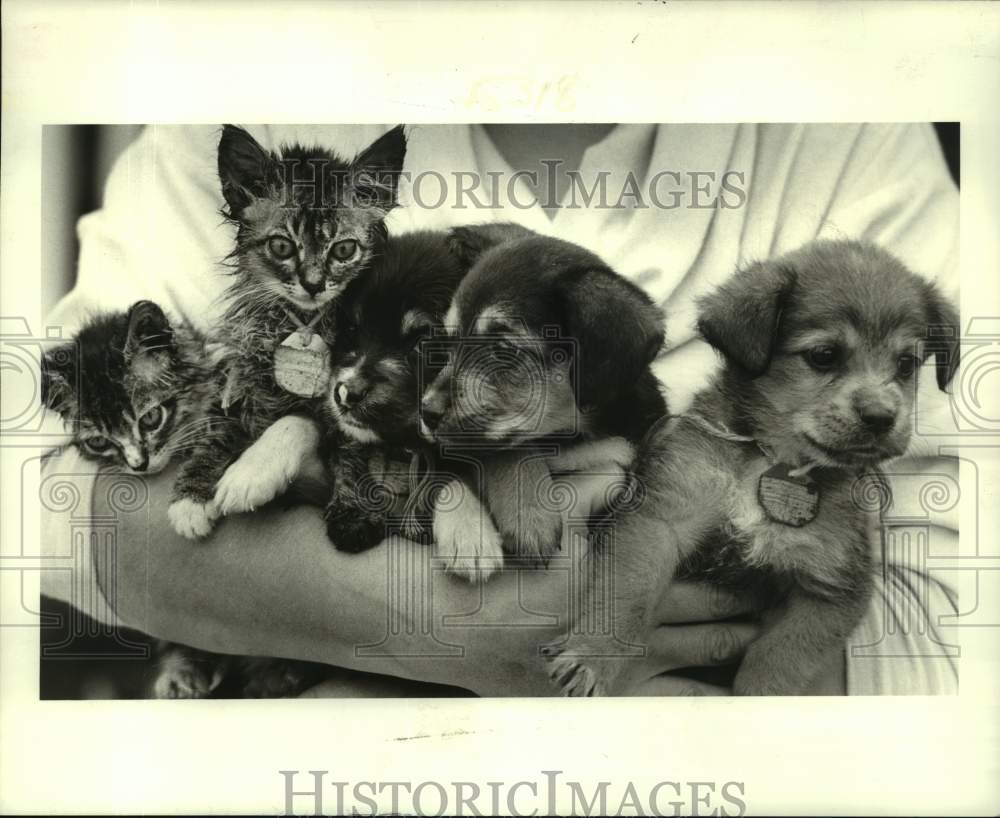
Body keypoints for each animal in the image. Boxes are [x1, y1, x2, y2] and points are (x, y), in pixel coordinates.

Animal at [168, 124, 406, 540]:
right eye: (281, 246)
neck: (301, 324)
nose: (313, 284)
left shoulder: (354, 407)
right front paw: (191, 496)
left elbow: (307, 426)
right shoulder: (237, 380)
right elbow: (214, 430)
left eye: (343, 250)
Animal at [418, 228, 668, 580]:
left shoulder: (620, 458)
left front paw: (527, 516)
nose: (427, 412)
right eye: (449, 340)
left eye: (503, 348)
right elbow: (499, 453)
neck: (567, 433)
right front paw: (476, 533)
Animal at [548, 237, 960, 696]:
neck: (772, 460)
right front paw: (594, 655)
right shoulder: (659, 521)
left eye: (906, 364)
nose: (881, 417)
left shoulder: (831, 586)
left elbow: (779, 659)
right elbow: (628, 594)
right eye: (823, 355)